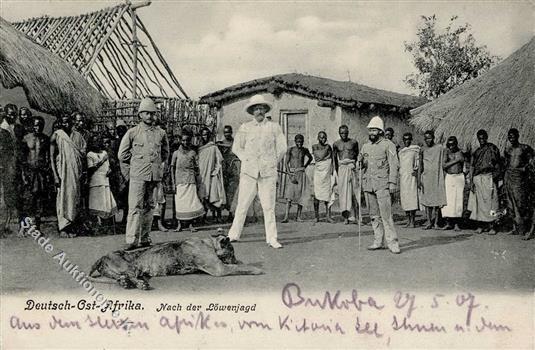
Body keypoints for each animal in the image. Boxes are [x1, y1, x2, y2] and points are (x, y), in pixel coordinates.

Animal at [89, 235, 262, 290]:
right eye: (232, 252)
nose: (234, 257)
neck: (210, 244)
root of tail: (102, 257)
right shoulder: (220, 268)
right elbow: (240, 267)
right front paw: (255, 268)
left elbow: (239, 265)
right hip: (133, 267)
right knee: (131, 276)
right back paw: (140, 284)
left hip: (116, 273)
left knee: (121, 278)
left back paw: (125, 283)